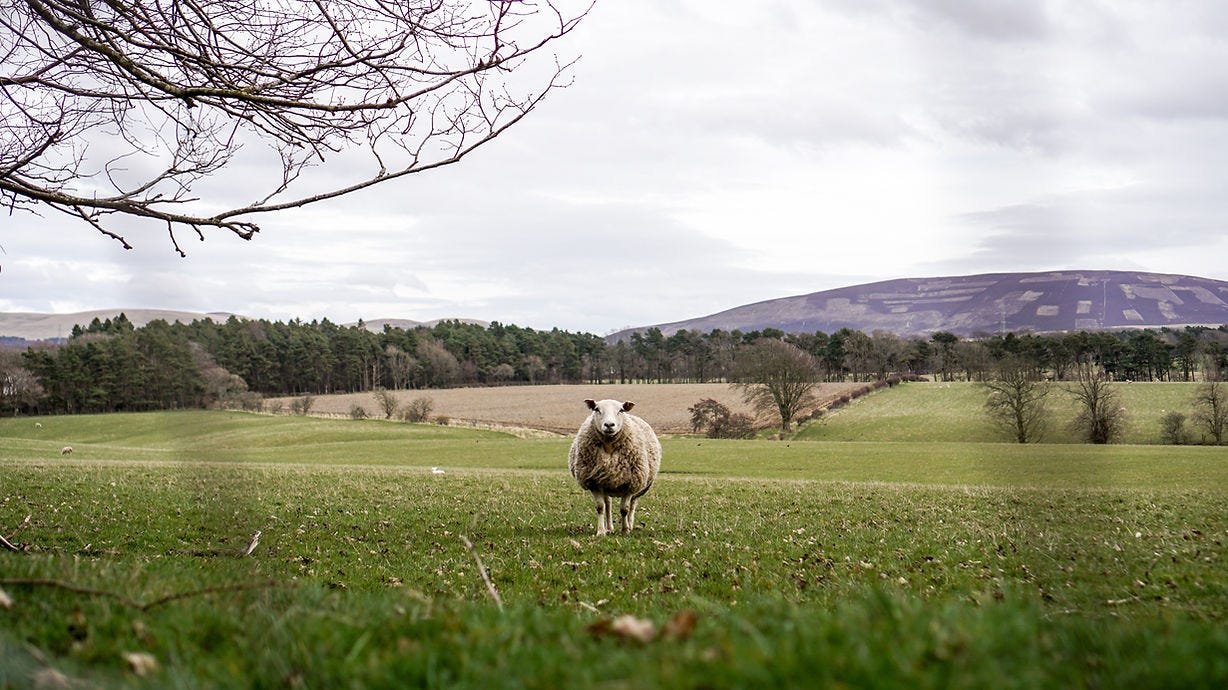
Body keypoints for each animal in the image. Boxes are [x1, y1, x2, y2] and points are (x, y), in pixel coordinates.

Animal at [568, 399, 662, 536]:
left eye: (621, 410)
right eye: (596, 409)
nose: (609, 425)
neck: (609, 446)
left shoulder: (630, 484)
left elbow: (625, 509)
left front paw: (625, 530)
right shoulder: (594, 483)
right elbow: (600, 507)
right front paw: (601, 531)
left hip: (639, 486)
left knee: (633, 504)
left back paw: (630, 524)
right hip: (606, 482)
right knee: (608, 504)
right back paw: (609, 527)